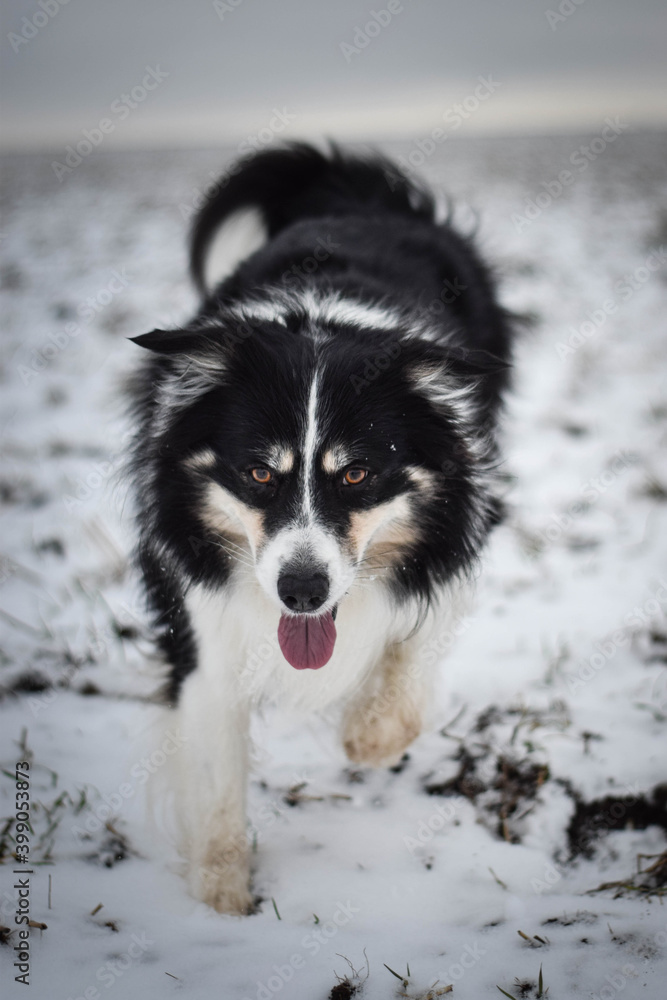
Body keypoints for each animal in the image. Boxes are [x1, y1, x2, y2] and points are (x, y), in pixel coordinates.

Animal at [129, 143, 512, 916]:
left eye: (357, 475)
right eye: (259, 474)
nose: (302, 592)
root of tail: (352, 194)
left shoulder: (461, 528)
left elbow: (410, 657)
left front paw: (366, 733)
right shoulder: (200, 618)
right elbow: (215, 777)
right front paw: (221, 904)